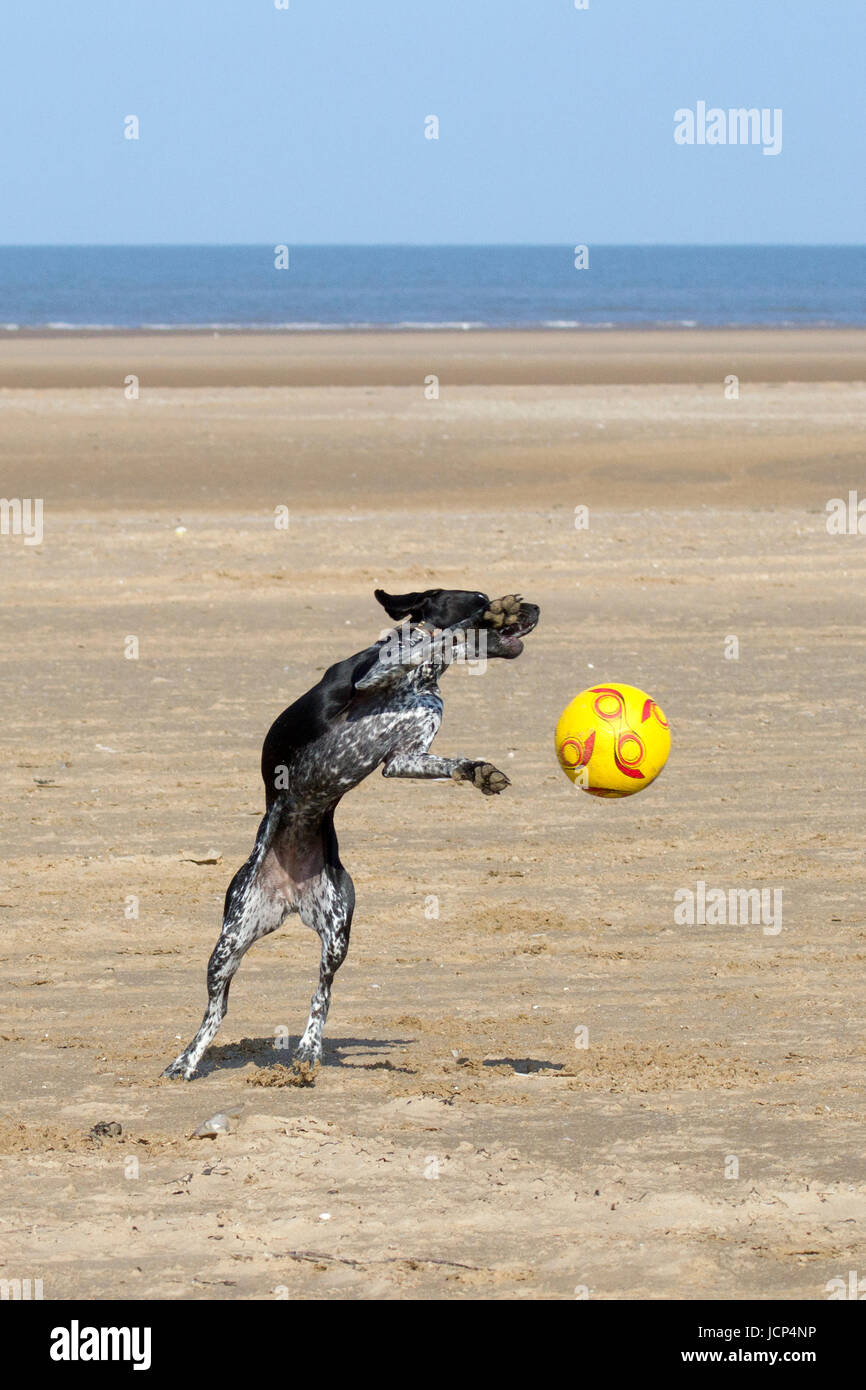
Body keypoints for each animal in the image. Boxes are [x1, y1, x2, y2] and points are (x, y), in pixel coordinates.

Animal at [163, 581, 539, 1078]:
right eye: (478, 596)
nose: (537, 608)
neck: (423, 679)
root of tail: (287, 897)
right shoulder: (371, 680)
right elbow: (442, 635)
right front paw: (488, 617)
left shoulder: (404, 759)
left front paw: (478, 772)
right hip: (230, 940)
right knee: (216, 1009)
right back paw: (187, 1061)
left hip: (336, 935)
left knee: (320, 996)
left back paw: (308, 1052)